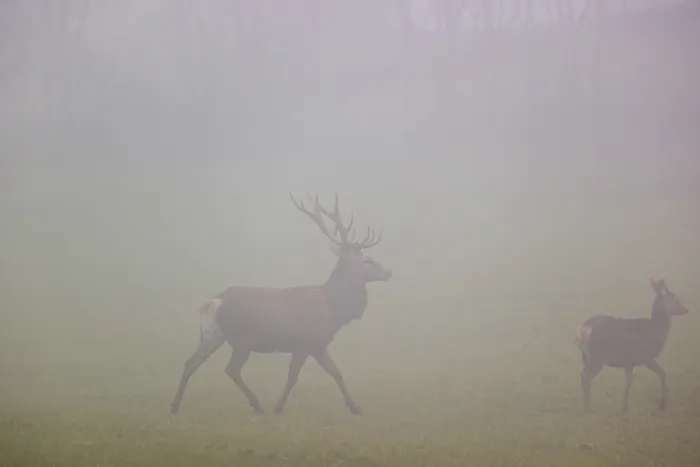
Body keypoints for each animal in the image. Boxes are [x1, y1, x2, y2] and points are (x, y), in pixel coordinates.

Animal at [170, 193, 392, 415]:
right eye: (367, 261)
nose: (389, 271)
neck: (332, 311)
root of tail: (216, 301)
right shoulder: (304, 342)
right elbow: (294, 376)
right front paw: (278, 406)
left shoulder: (318, 344)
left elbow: (336, 372)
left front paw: (355, 407)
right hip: (243, 340)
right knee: (231, 369)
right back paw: (257, 404)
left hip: (212, 334)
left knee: (191, 362)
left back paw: (175, 405)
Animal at [575, 278, 689, 413]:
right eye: (673, 297)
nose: (685, 309)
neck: (656, 331)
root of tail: (583, 329)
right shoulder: (646, 357)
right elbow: (662, 374)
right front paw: (661, 404)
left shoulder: (629, 362)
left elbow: (628, 382)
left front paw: (624, 407)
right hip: (597, 356)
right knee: (586, 376)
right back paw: (589, 408)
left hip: (586, 356)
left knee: (584, 375)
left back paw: (587, 406)